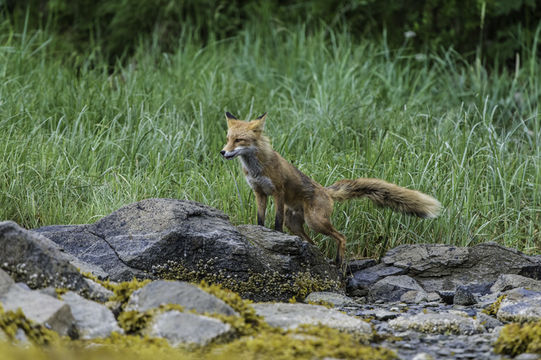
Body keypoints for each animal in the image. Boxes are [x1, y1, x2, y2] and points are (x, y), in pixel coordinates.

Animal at [219, 112, 438, 264]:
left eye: (239, 140)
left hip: (316, 221)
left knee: (341, 237)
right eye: (228, 138)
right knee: (314, 243)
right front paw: (261, 233)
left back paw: (339, 262)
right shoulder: (259, 192)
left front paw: (274, 236)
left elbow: (277, 222)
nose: (222, 152)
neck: (256, 169)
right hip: (297, 224)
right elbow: (260, 219)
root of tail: (325, 190)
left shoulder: (278, 192)